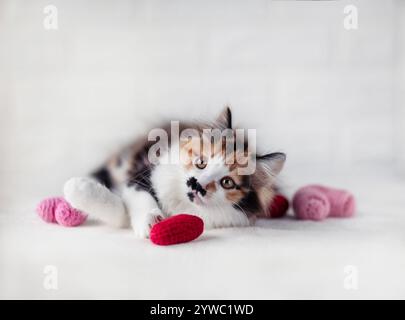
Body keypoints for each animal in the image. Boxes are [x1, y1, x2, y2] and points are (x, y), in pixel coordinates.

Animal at [63, 107, 284, 238]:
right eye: (201, 163)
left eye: (227, 182)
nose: (197, 184)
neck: (181, 201)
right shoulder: (143, 173)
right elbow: (134, 200)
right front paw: (150, 221)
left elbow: (121, 214)